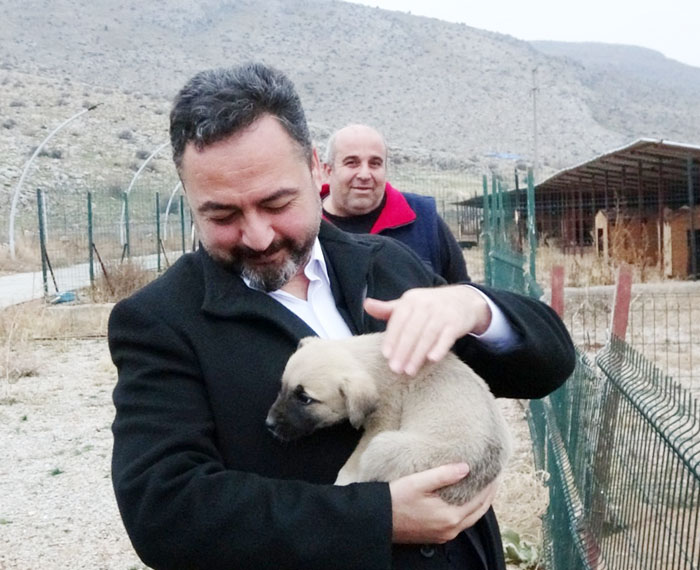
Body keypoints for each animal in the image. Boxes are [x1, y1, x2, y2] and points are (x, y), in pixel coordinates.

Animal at [266, 330, 512, 504]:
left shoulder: (382, 421)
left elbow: (354, 463)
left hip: (384, 446)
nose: (269, 424)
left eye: (305, 399)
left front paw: (342, 482)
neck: (371, 362)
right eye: (282, 387)